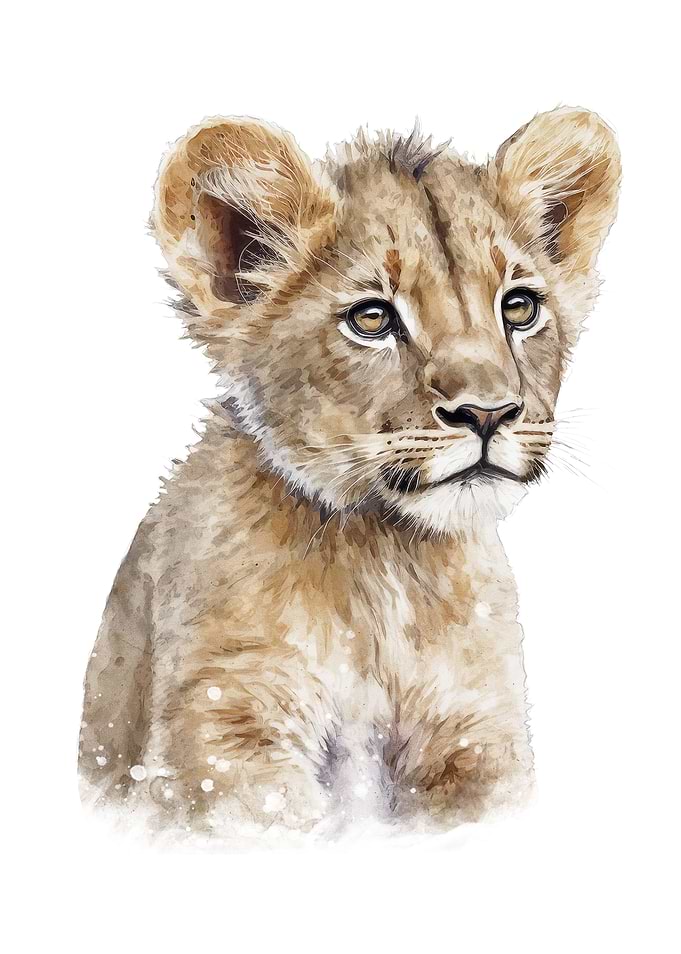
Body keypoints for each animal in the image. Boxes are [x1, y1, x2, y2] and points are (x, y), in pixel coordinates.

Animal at [79, 108, 620, 837]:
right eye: (372, 318)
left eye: (518, 307)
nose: (487, 413)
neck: (382, 559)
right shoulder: (222, 733)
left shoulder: (478, 730)